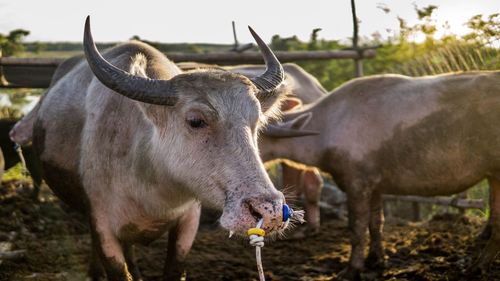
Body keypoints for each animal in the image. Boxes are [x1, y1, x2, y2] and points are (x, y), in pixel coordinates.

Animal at [28, 17, 300, 278]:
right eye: (195, 121)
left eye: (256, 121)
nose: (270, 211)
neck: (150, 180)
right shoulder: (101, 225)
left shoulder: (188, 222)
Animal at [260, 71, 500, 278]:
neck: (328, 126)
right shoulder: (375, 187)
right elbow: (376, 223)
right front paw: (376, 260)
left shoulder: (357, 185)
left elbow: (357, 228)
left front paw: (352, 269)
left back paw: (478, 266)